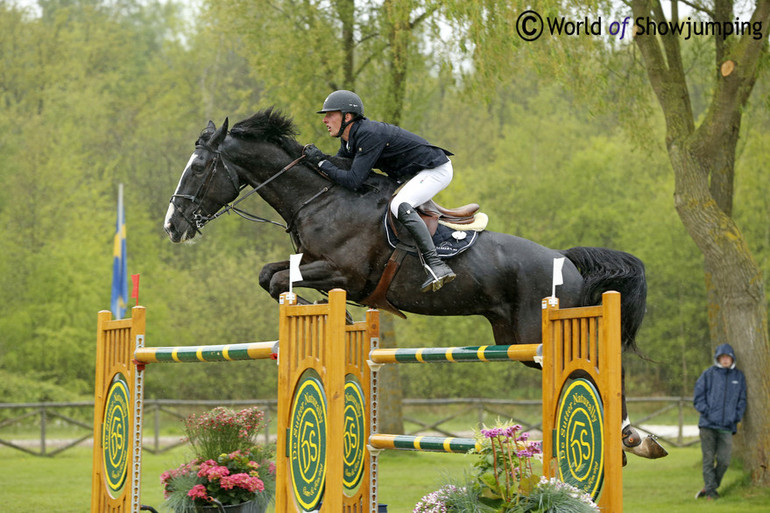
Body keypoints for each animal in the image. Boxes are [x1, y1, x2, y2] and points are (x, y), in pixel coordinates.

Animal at [164, 108, 664, 460]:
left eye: (199, 167)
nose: (173, 226)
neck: (320, 199)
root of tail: (568, 261)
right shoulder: (316, 265)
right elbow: (269, 275)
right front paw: (322, 311)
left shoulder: (345, 274)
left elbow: (282, 278)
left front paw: (317, 307)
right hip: (517, 339)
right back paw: (634, 439)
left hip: (542, 334)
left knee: (603, 367)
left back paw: (633, 439)